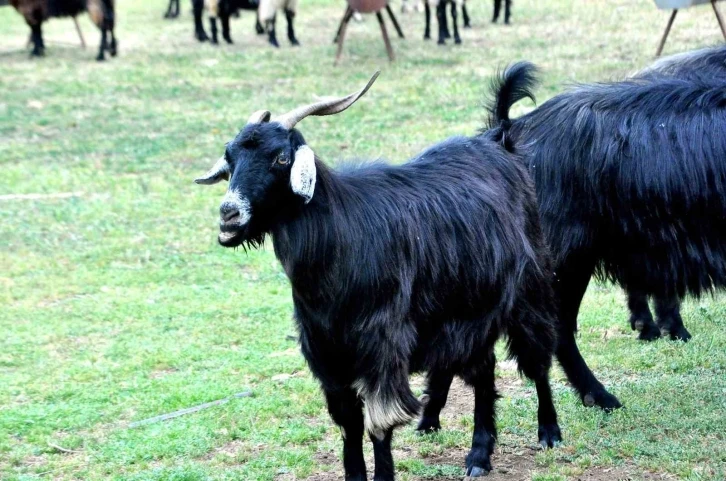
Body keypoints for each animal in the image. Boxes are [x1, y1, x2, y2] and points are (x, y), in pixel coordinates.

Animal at [196, 73, 564, 478]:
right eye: (230, 157)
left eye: (280, 157)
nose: (229, 215)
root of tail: (500, 141)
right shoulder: (327, 352)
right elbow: (349, 422)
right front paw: (355, 474)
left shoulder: (382, 346)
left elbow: (379, 425)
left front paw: (383, 475)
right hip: (469, 309)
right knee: (481, 370)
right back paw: (472, 450)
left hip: (529, 290)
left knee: (537, 357)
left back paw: (546, 433)